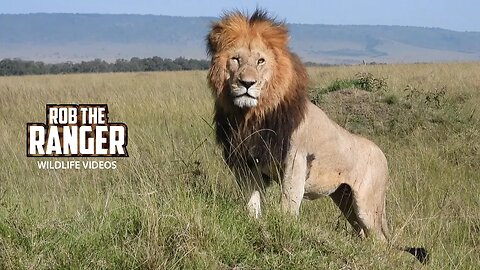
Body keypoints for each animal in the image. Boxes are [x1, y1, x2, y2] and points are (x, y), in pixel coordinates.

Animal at [206, 9, 428, 262]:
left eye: (260, 61)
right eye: (236, 59)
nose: (247, 83)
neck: (253, 116)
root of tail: (382, 153)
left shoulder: (295, 161)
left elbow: (288, 204)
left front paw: (283, 233)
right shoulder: (246, 163)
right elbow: (251, 204)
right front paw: (254, 224)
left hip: (367, 205)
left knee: (379, 240)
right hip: (346, 201)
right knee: (364, 234)